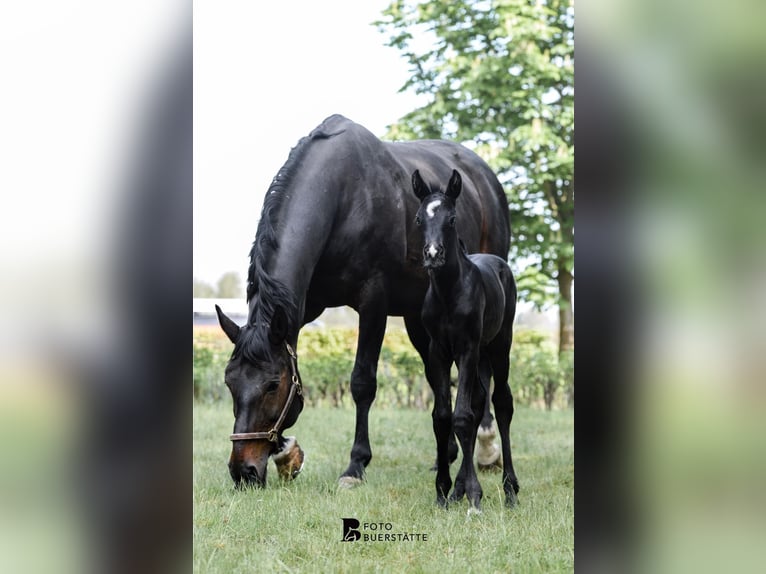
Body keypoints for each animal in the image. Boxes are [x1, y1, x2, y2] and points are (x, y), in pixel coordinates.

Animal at [214, 116, 510, 490]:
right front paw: (287, 453)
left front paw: (355, 465)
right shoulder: (302, 307)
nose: (244, 472)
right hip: (418, 318)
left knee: (483, 369)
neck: (345, 198)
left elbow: (362, 382)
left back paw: (486, 449)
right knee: (434, 372)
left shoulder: (373, 303)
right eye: (230, 382)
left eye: (272, 385)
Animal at [414, 169, 520, 510]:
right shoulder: (438, 351)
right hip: (480, 354)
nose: (433, 255)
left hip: (498, 345)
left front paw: (474, 495)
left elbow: (462, 416)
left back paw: (510, 490)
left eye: (451, 218)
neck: (450, 293)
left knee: (501, 402)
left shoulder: (467, 348)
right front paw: (443, 490)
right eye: (419, 218)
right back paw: (459, 488)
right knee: (478, 402)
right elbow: (442, 416)